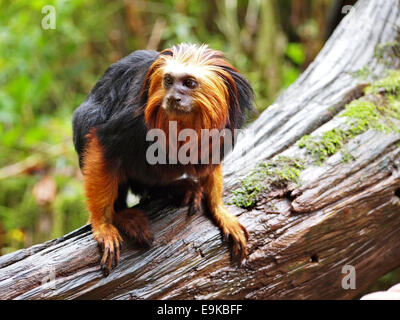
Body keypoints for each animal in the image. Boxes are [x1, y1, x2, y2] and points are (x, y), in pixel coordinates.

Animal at [72, 42, 255, 274]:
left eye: (189, 83)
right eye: (168, 81)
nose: (173, 97)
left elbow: (210, 161)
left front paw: (219, 209)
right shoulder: (132, 119)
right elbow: (101, 143)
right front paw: (102, 224)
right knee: (88, 118)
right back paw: (123, 214)